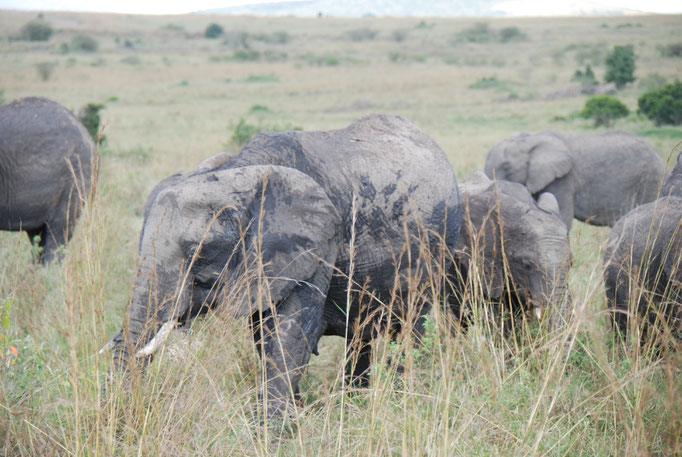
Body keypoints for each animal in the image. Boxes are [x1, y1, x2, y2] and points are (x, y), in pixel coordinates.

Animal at [102, 115, 462, 416]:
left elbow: (290, 337)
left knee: (410, 329)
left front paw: (271, 432)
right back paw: (353, 406)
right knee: (361, 336)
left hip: (435, 249)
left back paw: (402, 404)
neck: (243, 173)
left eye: (197, 251)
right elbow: (266, 339)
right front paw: (293, 418)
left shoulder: (317, 246)